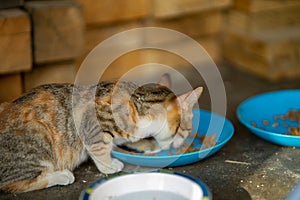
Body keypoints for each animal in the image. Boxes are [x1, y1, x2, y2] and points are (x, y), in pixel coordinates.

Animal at [0, 73, 202, 192]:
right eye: (187, 129)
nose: (185, 142)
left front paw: (148, 144)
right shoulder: (93, 123)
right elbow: (99, 147)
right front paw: (109, 165)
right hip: (38, 137)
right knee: (13, 183)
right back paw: (60, 176)